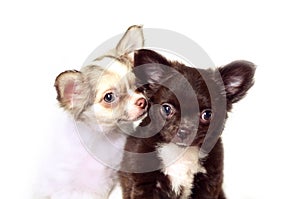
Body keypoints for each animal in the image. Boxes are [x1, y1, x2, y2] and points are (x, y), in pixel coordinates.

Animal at [34, 25, 147, 198]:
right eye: (109, 97)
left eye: (138, 84)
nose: (142, 101)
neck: (103, 136)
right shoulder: (64, 187)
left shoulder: (116, 175)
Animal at [119, 49, 255, 198]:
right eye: (167, 109)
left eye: (207, 115)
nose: (184, 131)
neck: (180, 153)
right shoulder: (144, 184)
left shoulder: (208, 184)